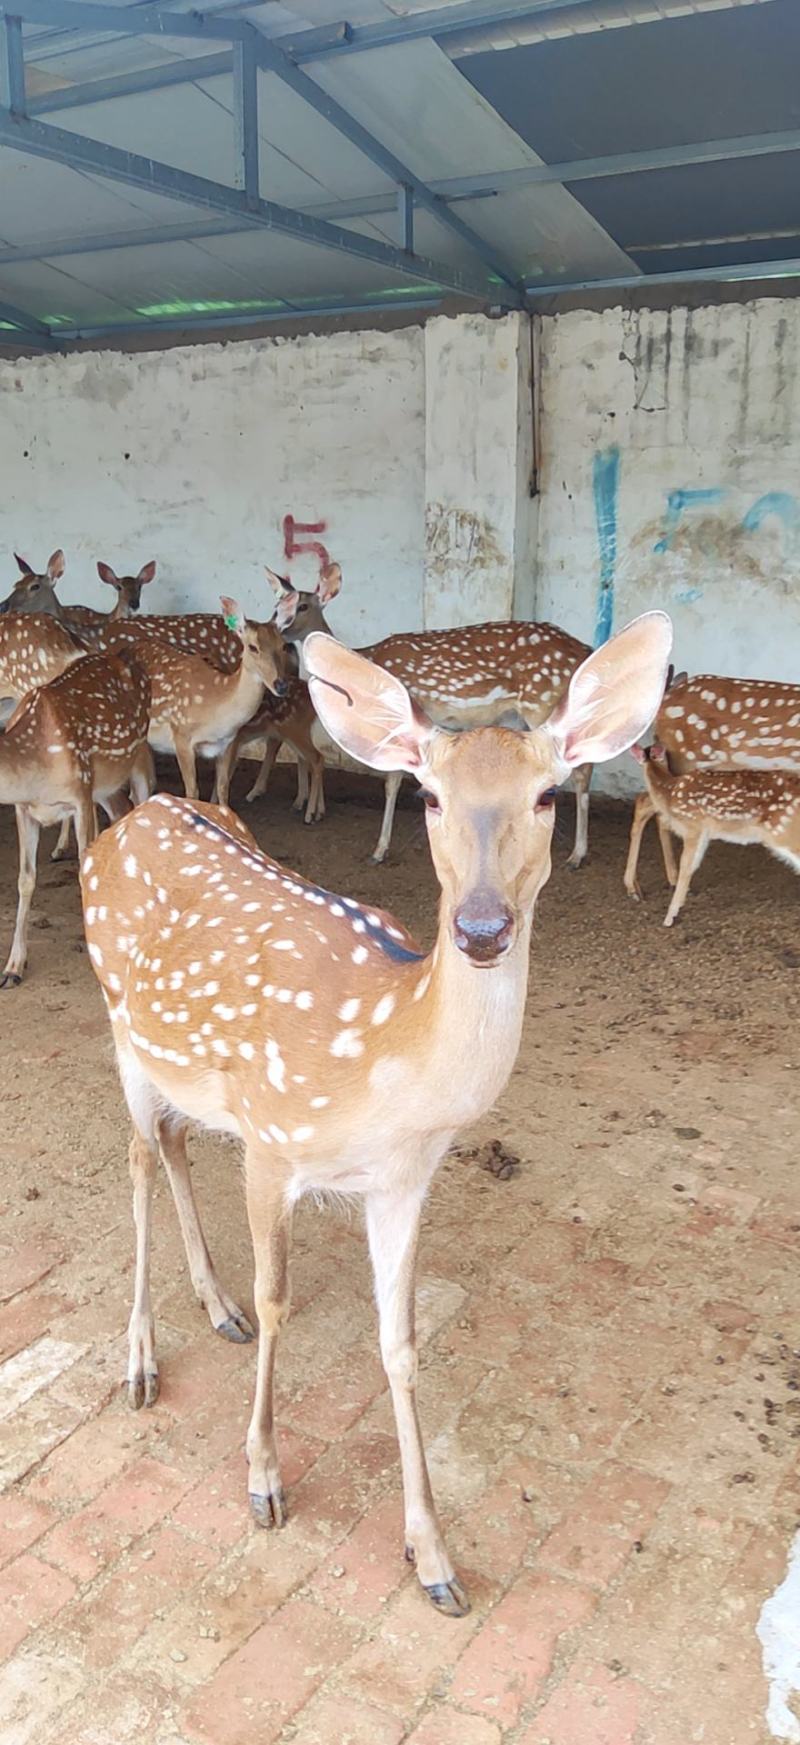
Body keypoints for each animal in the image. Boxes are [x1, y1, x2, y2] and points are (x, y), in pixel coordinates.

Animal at [1, 649, 152, 987]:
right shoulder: (23, 810)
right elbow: (25, 879)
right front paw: (13, 967)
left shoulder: (80, 795)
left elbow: (84, 872)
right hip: (104, 785)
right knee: (121, 811)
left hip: (135, 761)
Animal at [81, 609, 671, 1617]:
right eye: (429, 796)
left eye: (550, 793)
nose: (481, 928)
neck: (383, 1065)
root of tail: (123, 825)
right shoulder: (272, 1139)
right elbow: (280, 1301)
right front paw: (263, 1479)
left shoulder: (402, 1182)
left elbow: (399, 1342)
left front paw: (432, 1555)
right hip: (122, 1028)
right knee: (136, 1159)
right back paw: (141, 1362)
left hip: (180, 1066)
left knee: (172, 1142)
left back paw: (213, 1304)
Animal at [266, 563, 594, 866]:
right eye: (276, 606)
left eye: (302, 606)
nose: (275, 630)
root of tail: (584, 650)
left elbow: (392, 782)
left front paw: (380, 850)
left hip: (544, 701)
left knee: (580, 769)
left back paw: (576, 854)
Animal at [624, 742, 800, 926]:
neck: (669, 792)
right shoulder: (704, 833)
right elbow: (692, 865)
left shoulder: (693, 826)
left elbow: (686, 866)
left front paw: (670, 916)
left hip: (781, 831)